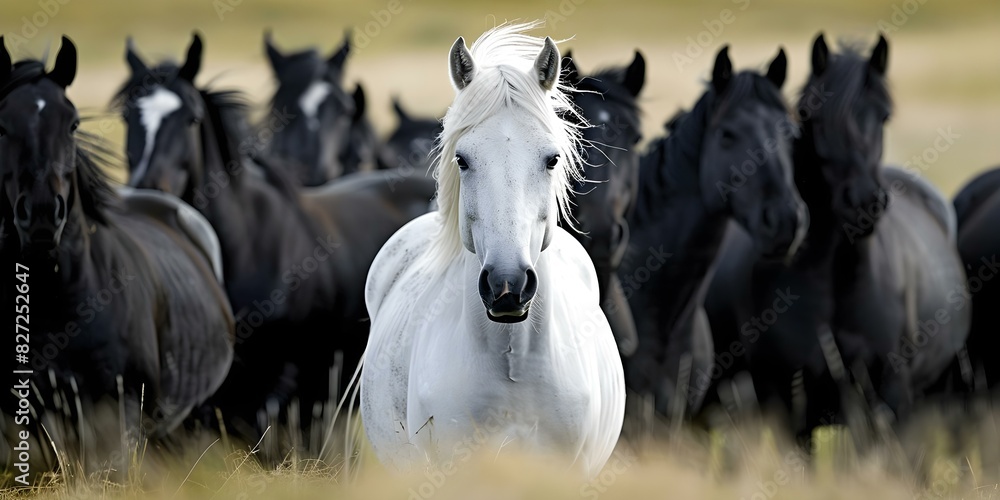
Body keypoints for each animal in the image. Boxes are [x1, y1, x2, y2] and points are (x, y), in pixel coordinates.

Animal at [710, 34, 969, 439]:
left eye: (884, 116)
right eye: (813, 117)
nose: (863, 202)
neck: (837, 280)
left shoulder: (889, 395)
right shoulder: (788, 398)